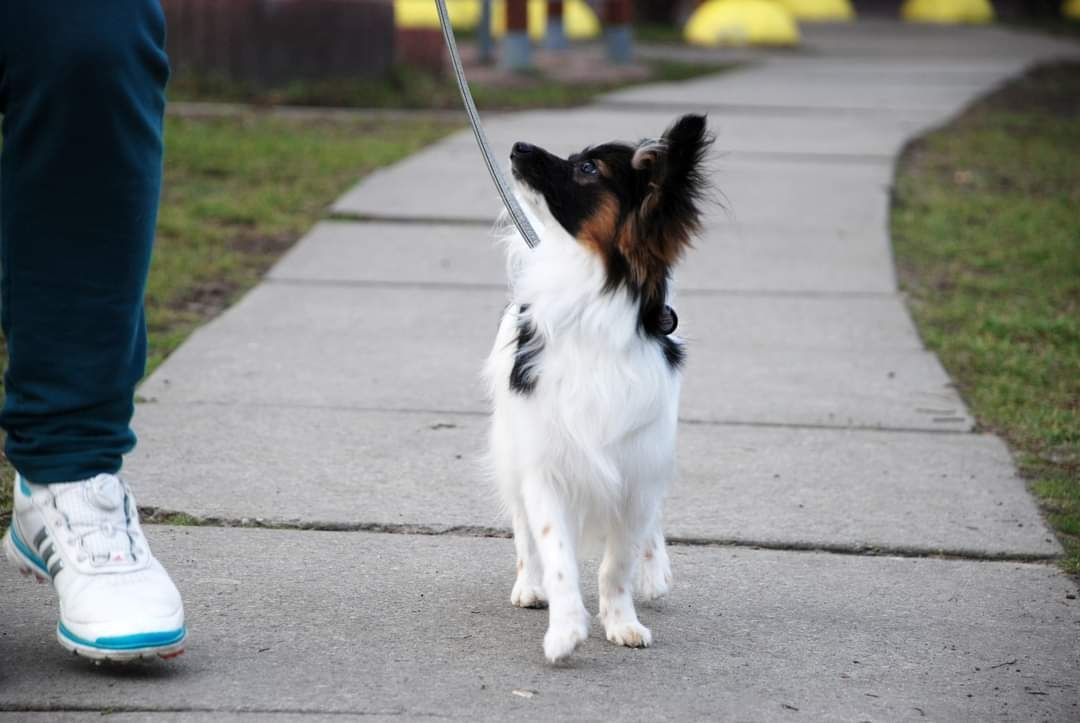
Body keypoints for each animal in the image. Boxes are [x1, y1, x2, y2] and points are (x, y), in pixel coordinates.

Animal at [486, 112, 712, 661]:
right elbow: (556, 551)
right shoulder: (545, 465)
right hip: (511, 445)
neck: (587, 299)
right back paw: (529, 584)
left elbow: (619, 562)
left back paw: (655, 572)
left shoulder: (637, 470)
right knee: (522, 527)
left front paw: (622, 619)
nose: (518, 146)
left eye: (588, 168)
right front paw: (566, 627)